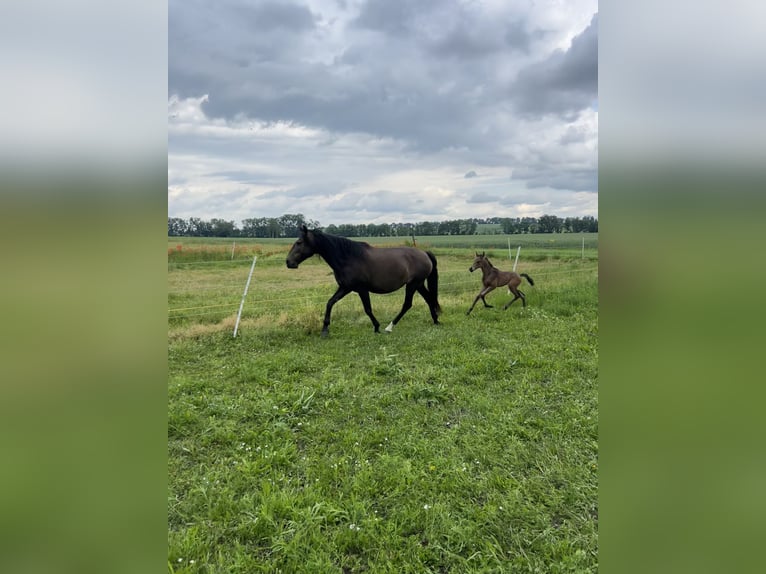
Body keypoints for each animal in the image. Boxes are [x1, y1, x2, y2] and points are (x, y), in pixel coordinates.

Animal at [286, 226, 444, 338]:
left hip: (413, 284)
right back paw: (435, 321)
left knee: (407, 304)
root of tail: (424, 253)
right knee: (429, 299)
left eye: (299, 242)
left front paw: (377, 327)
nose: (288, 262)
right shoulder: (345, 288)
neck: (348, 258)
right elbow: (330, 303)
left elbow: (367, 309)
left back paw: (389, 327)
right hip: (419, 284)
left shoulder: (362, 289)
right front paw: (325, 330)